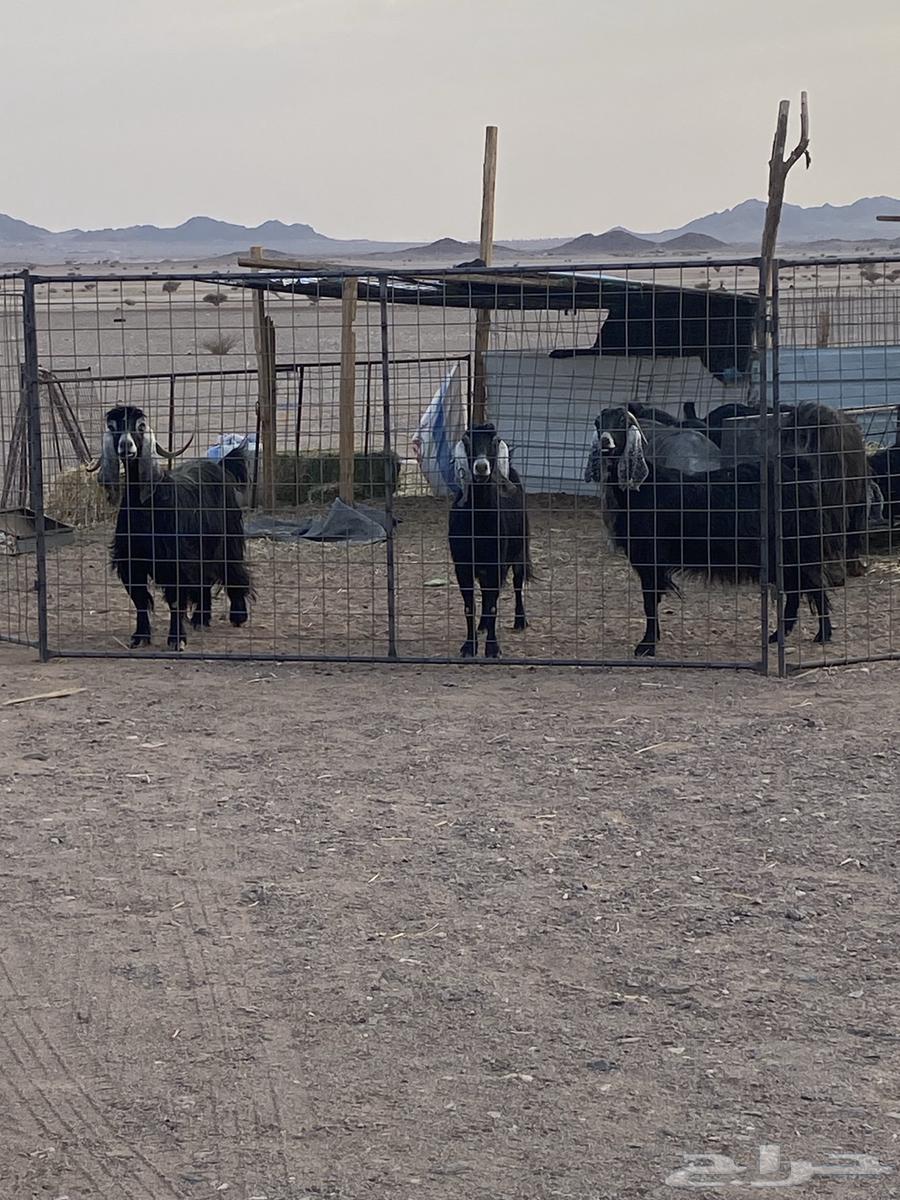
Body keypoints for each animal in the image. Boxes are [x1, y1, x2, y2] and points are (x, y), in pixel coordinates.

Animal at [94, 405, 253, 650]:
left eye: (140, 426)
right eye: (112, 427)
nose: (126, 446)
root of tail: (219, 465)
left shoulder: (175, 560)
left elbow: (176, 600)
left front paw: (177, 639)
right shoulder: (132, 561)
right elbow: (140, 599)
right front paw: (140, 636)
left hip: (229, 538)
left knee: (233, 570)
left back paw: (237, 616)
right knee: (205, 579)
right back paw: (200, 619)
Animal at [448, 423, 533, 658]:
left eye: (494, 441)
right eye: (467, 441)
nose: (481, 467)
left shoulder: (496, 563)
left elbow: (493, 605)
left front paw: (493, 649)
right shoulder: (463, 565)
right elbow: (470, 606)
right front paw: (469, 646)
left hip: (520, 551)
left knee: (517, 584)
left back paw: (520, 621)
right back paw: (482, 625)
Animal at [584, 406, 837, 657]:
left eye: (622, 421)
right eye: (598, 422)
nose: (606, 442)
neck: (646, 487)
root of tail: (797, 474)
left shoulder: (650, 556)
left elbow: (649, 601)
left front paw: (646, 646)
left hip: (797, 548)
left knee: (814, 586)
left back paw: (822, 635)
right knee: (797, 589)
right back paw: (778, 636)